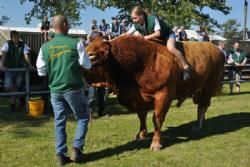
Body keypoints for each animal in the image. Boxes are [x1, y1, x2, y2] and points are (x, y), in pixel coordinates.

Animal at [84, 36, 225, 151]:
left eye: (92, 55)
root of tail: (216, 48)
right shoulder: (138, 97)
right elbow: (142, 116)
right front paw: (141, 134)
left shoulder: (164, 95)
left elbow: (157, 119)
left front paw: (156, 143)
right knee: (203, 106)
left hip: (208, 87)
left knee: (202, 106)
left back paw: (197, 126)